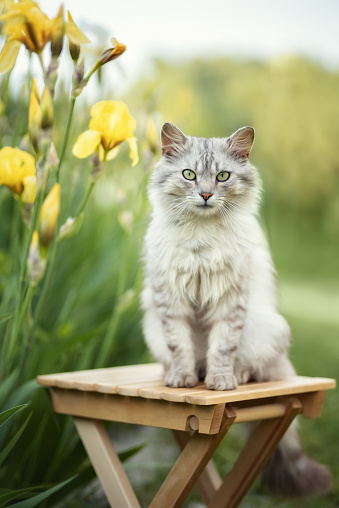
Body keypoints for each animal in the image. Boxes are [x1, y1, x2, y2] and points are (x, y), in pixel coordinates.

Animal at [142, 123, 334, 496]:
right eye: (189, 175)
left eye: (222, 176)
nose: (205, 195)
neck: (200, 237)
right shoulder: (171, 302)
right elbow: (181, 347)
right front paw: (184, 379)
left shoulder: (229, 301)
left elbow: (222, 349)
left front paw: (220, 382)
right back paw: (183, 373)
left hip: (268, 330)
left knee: (255, 367)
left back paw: (234, 376)